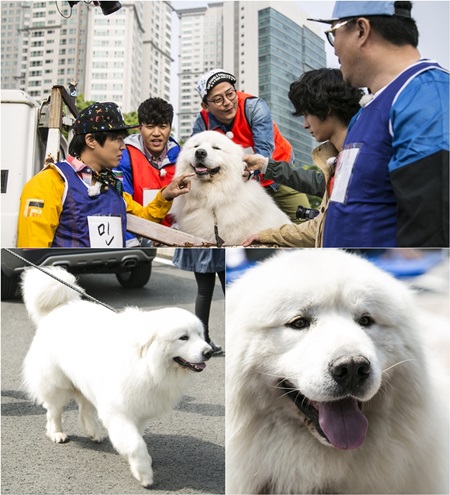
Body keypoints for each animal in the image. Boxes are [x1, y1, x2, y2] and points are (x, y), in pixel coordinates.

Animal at [20, 268, 212, 488]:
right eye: (183, 337)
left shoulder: (139, 409)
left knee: (84, 409)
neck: (147, 363)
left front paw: (139, 462)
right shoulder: (120, 410)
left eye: (200, 334)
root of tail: (61, 306)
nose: (209, 352)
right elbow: (136, 444)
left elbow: (137, 438)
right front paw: (144, 474)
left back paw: (94, 433)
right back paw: (56, 433)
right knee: (54, 411)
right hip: (56, 383)